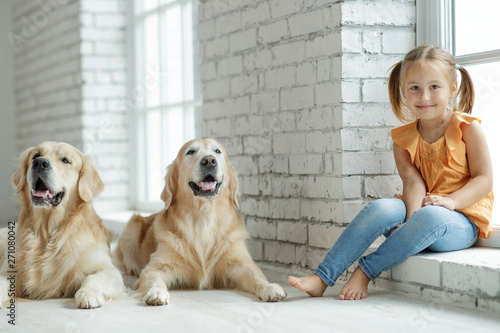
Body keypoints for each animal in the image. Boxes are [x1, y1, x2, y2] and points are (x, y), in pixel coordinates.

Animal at [0, 141, 124, 308]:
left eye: (65, 160)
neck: (47, 234)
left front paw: (88, 293)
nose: (39, 163)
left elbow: (93, 277)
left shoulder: (110, 270)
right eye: (36, 155)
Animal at [113, 137, 286, 304]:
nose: (209, 160)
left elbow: (257, 276)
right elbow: (154, 279)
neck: (204, 216)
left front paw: (270, 287)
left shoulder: (241, 263)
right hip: (132, 227)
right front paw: (156, 292)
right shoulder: (156, 267)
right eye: (190, 152)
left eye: (217, 151)